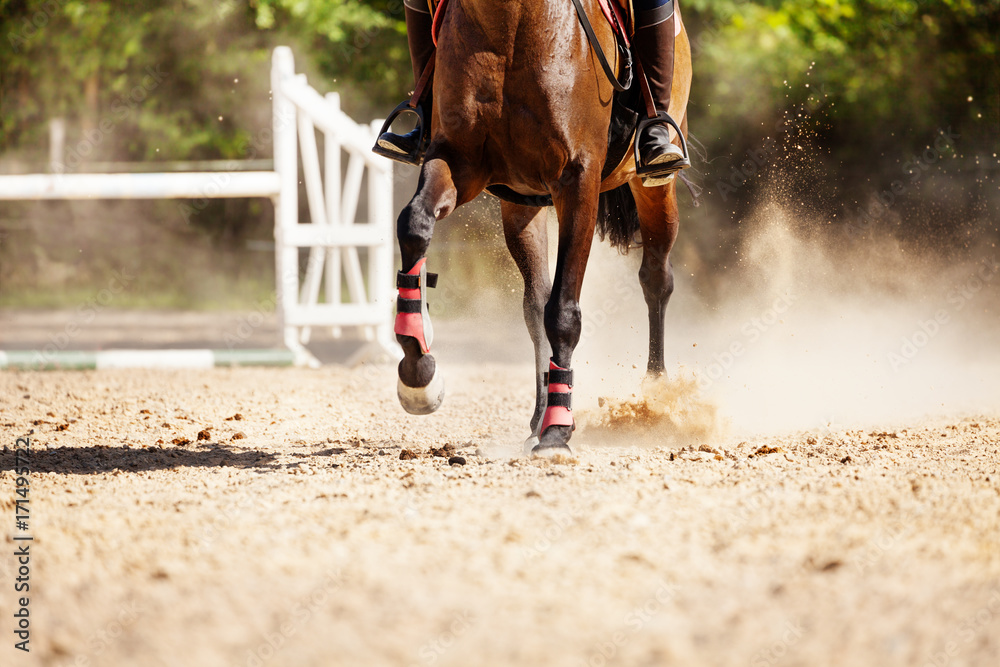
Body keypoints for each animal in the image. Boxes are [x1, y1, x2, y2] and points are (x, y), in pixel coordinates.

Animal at [388, 0, 688, 456]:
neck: (509, 22)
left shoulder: (577, 181)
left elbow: (564, 311)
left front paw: (559, 431)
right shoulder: (457, 161)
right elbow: (414, 225)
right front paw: (418, 373)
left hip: (653, 186)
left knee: (656, 278)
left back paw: (653, 396)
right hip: (520, 204)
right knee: (534, 303)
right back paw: (538, 414)